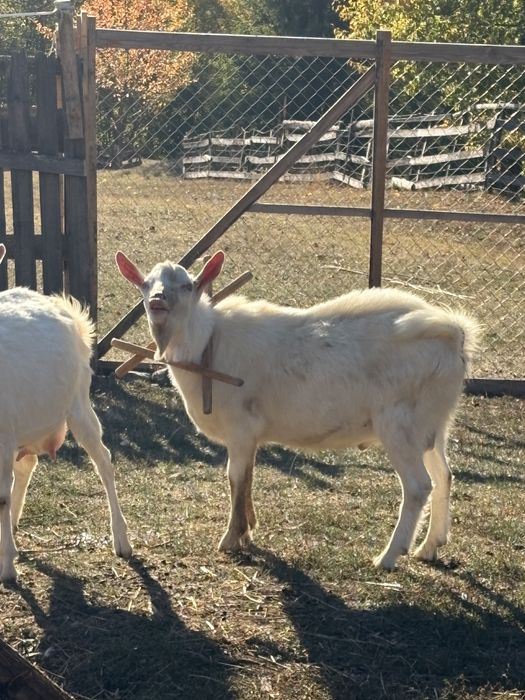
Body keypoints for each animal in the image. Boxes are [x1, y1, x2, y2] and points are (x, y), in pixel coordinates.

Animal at [0, 248, 131, 583]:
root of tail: (63, 306)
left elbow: (0, 497)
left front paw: (7, 567)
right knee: (28, 464)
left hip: (79, 404)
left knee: (104, 461)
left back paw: (122, 540)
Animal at [116, 249, 479, 570]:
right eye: (146, 283)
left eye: (187, 285)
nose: (157, 301)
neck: (207, 344)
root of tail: (453, 334)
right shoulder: (252, 435)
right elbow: (248, 477)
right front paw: (249, 530)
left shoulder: (240, 428)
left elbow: (235, 477)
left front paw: (232, 538)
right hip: (433, 425)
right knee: (444, 475)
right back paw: (429, 547)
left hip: (399, 424)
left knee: (418, 486)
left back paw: (388, 557)